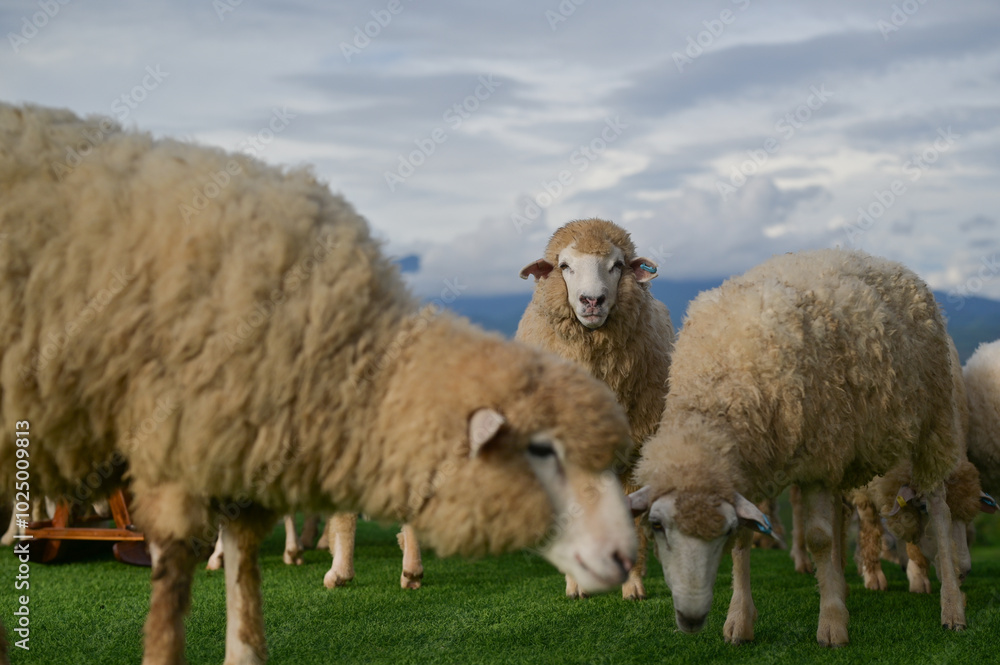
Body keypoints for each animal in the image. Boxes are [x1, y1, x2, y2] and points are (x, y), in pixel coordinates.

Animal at [515, 218, 674, 600]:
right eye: (564, 266)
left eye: (617, 265)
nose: (592, 300)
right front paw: (576, 585)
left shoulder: (637, 450)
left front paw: (633, 585)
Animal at [630, 248, 966, 647]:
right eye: (657, 526)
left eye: (720, 532)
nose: (691, 619)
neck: (720, 386)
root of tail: (894, 265)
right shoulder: (754, 466)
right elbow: (746, 541)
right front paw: (739, 619)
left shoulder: (816, 461)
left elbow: (818, 538)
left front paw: (832, 625)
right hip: (844, 444)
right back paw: (841, 585)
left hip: (934, 420)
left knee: (940, 508)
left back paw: (952, 606)